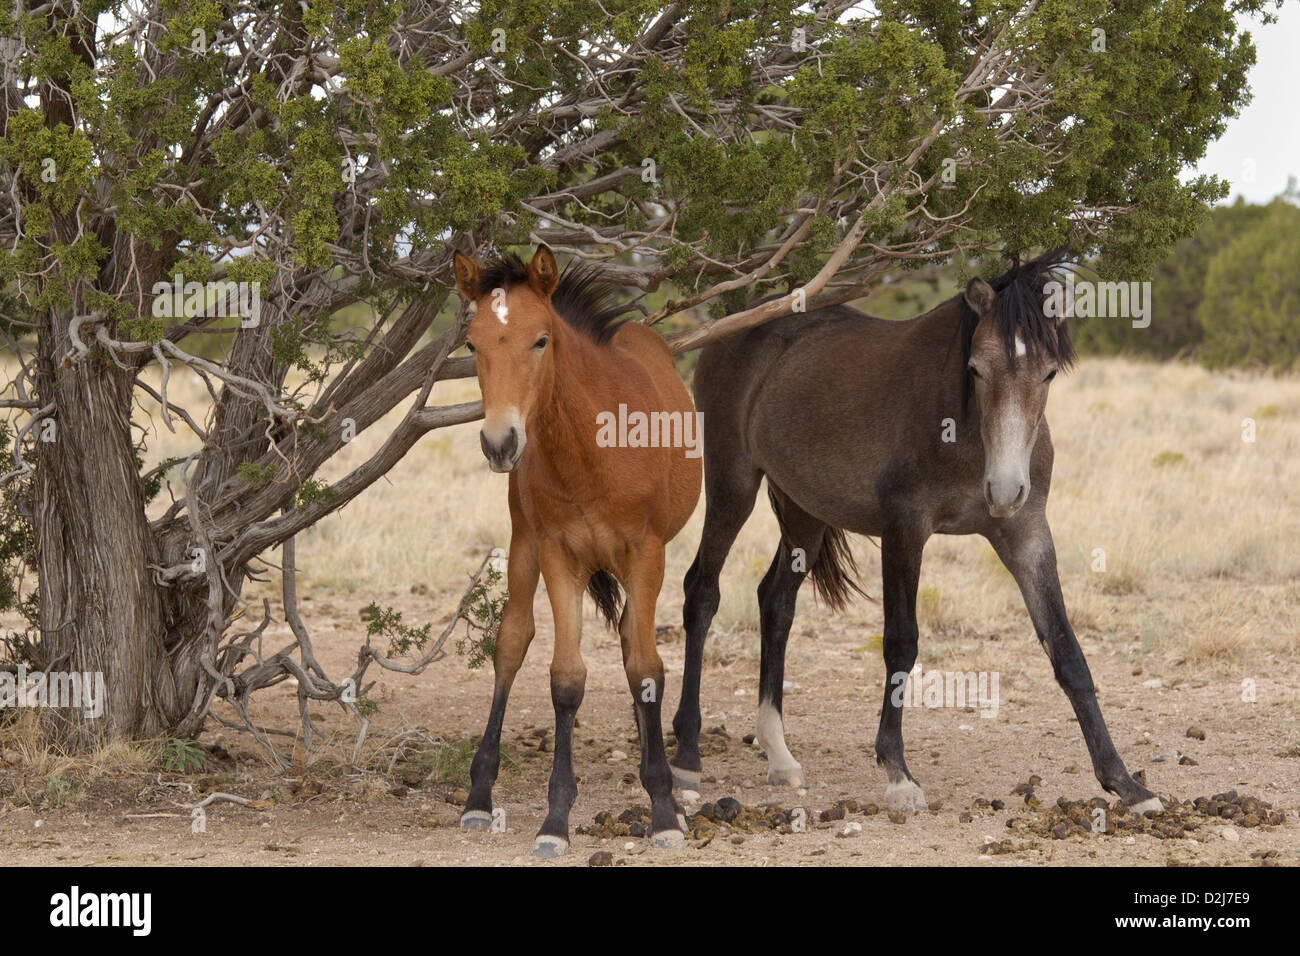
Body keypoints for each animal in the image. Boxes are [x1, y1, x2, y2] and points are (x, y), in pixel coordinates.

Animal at [452, 245, 703, 857]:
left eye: (541, 339)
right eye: (471, 344)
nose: (500, 443)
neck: (593, 449)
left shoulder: (645, 554)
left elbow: (646, 668)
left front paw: (664, 808)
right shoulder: (557, 555)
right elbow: (565, 679)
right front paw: (554, 821)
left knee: (634, 650)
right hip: (522, 543)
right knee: (511, 642)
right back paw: (479, 797)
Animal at [669, 252, 1164, 816]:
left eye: (1049, 372)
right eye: (976, 369)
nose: (1004, 489)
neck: (965, 428)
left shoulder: (1027, 535)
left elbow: (1067, 653)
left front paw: (1126, 783)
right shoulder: (904, 529)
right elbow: (901, 643)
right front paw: (898, 773)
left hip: (803, 513)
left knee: (775, 603)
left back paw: (779, 755)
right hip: (733, 485)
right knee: (701, 594)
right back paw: (686, 759)